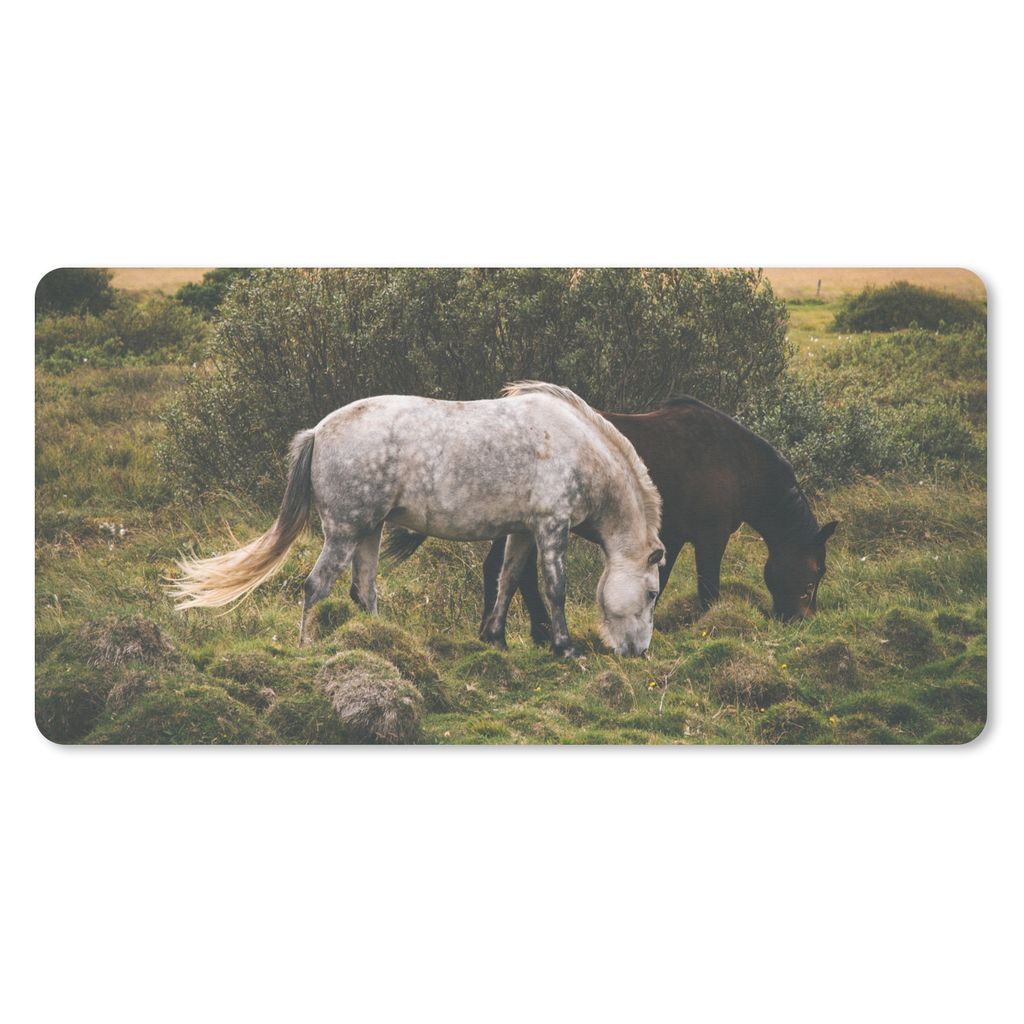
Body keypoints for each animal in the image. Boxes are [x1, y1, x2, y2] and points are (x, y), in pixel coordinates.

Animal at [170, 382, 666, 657]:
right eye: (652, 593)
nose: (638, 652)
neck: (575, 448)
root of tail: (318, 431)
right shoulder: (550, 527)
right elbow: (555, 589)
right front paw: (565, 648)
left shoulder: (524, 531)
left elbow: (506, 580)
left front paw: (495, 638)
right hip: (345, 532)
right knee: (316, 587)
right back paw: (307, 646)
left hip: (369, 531)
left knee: (363, 590)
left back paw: (381, 644)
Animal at [384, 395, 838, 644]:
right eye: (815, 573)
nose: (802, 620)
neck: (736, 462)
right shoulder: (710, 539)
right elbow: (709, 588)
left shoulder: (670, 538)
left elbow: (659, 582)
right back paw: (534, 631)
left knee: (504, 570)